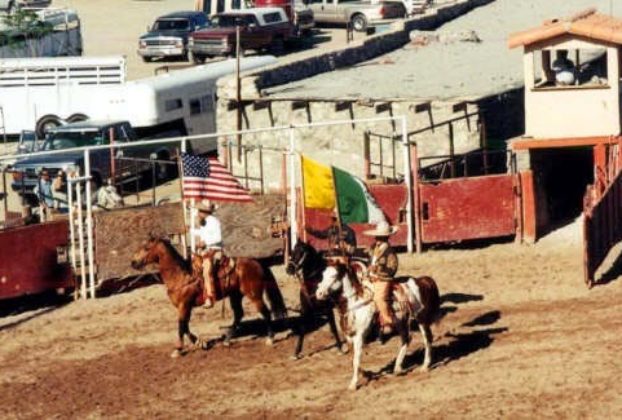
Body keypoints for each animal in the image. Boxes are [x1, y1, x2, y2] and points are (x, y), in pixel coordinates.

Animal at [133, 235, 288, 356]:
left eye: (146, 248)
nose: (133, 262)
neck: (182, 276)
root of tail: (257, 262)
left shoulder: (184, 306)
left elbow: (181, 326)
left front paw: (178, 349)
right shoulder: (185, 307)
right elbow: (185, 326)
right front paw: (200, 343)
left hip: (254, 295)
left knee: (265, 312)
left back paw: (270, 339)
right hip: (235, 295)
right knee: (239, 314)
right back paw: (227, 340)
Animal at [316, 262, 444, 390]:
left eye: (334, 276)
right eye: (323, 276)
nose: (319, 294)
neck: (355, 303)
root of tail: (420, 281)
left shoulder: (360, 336)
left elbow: (356, 360)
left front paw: (353, 384)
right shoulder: (349, 337)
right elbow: (353, 359)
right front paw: (366, 374)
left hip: (421, 319)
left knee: (427, 338)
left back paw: (425, 366)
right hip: (401, 322)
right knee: (406, 339)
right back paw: (398, 368)